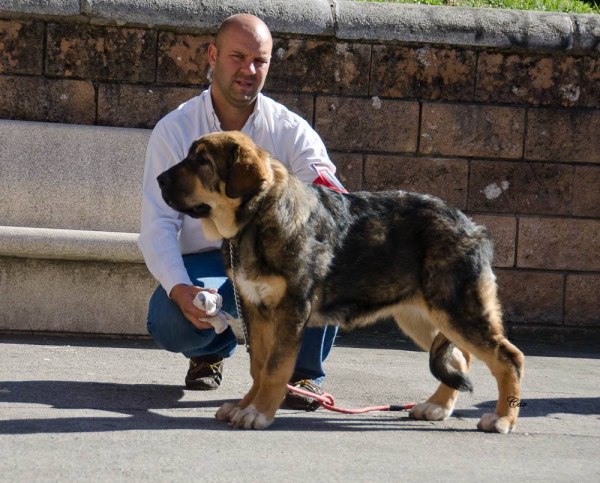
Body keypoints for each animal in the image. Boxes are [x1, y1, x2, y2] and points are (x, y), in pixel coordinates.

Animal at [157, 131, 524, 434]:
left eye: (203, 161)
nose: (159, 178)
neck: (257, 218)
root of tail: (473, 226)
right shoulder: (255, 308)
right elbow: (258, 367)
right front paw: (246, 405)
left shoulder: (291, 308)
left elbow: (275, 368)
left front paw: (259, 413)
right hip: (420, 315)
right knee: (460, 358)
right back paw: (437, 406)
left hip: (455, 309)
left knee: (509, 358)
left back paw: (502, 418)